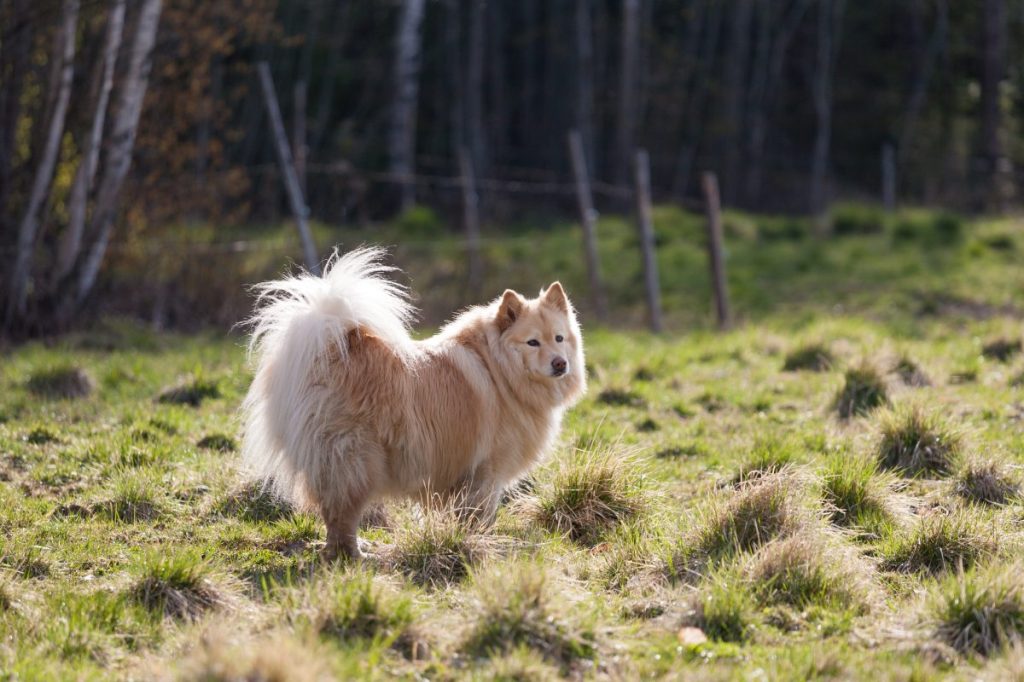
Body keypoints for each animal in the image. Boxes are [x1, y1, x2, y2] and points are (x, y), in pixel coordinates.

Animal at [238, 246, 585, 557]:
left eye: (559, 338)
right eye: (532, 343)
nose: (560, 363)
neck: (499, 371)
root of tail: (331, 348)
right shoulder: (486, 473)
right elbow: (482, 517)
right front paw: (485, 543)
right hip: (355, 461)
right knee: (342, 519)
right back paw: (357, 555)